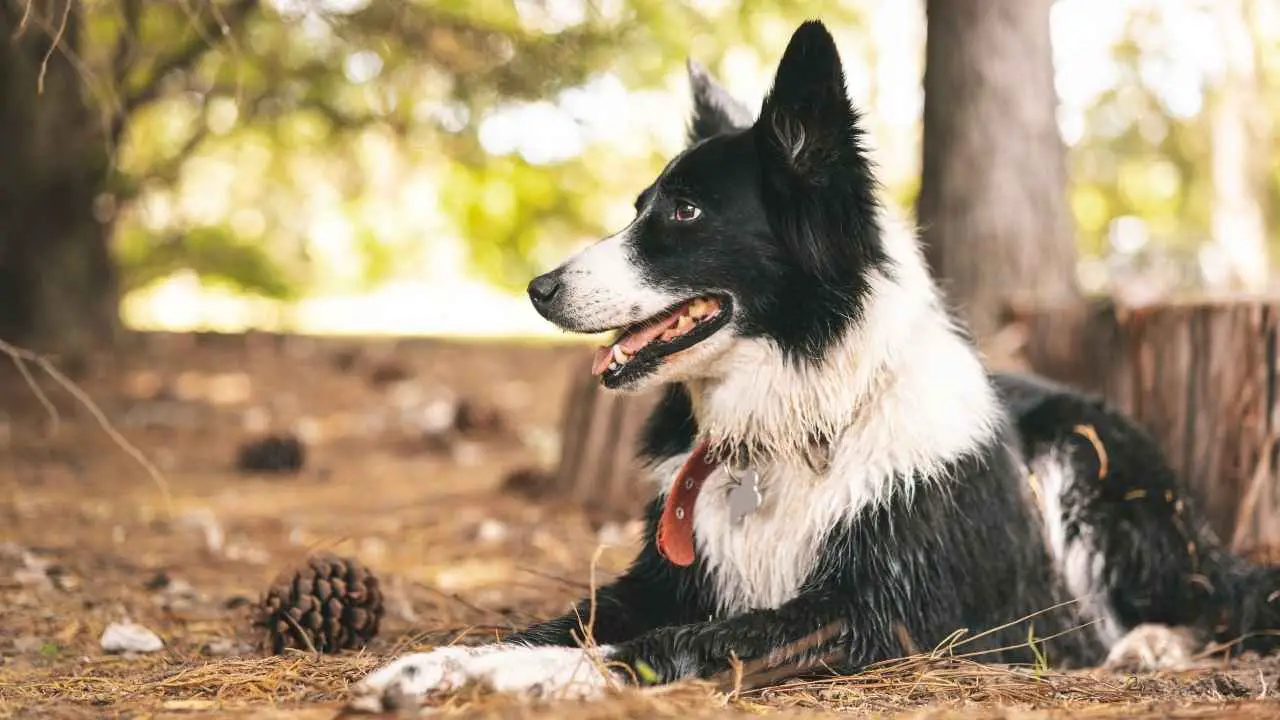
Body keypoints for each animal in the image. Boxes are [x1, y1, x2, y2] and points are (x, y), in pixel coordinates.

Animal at [350, 19, 1280, 707]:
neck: (791, 420)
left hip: (1084, 467)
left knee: (1215, 599)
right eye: (641, 205)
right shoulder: (662, 580)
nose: (537, 288)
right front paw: (436, 664)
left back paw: (1149, 643)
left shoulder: (872, 613)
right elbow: (560, 621)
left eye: (682, 212)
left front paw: (531, 677)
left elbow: (667, 645)